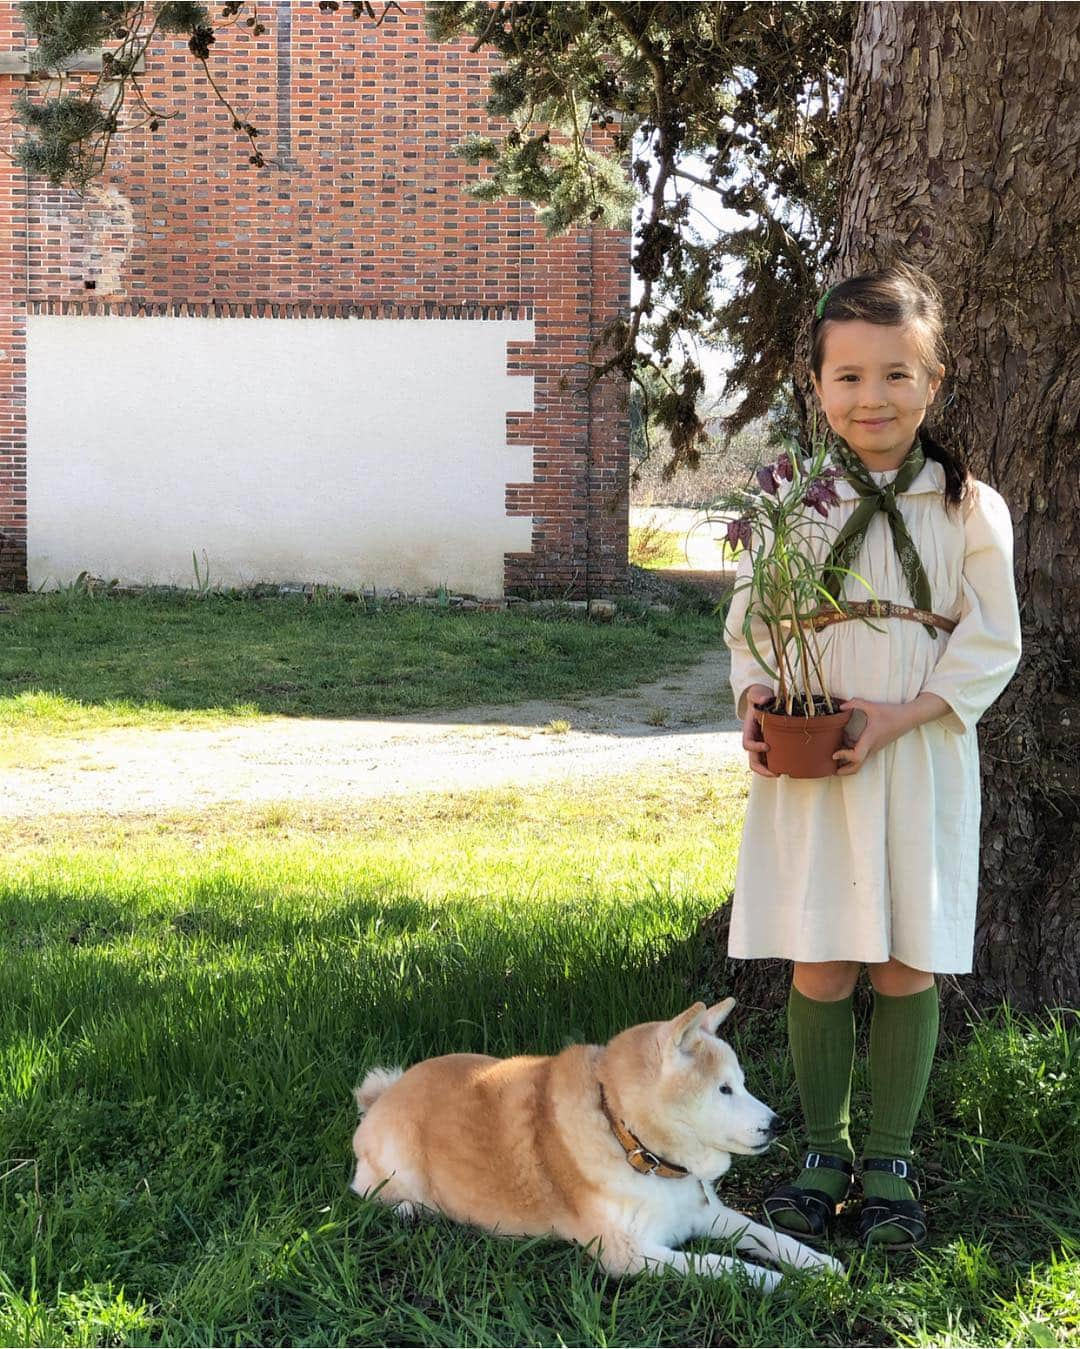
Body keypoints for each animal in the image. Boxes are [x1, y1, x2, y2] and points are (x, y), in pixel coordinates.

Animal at [350, 1003, 835, 1284]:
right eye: (724, 1090)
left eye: (742, 1083)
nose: (777, 1124)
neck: (635, 1146)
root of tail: (385, 1093)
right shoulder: (627, 1254)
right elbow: (726, 1266)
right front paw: (783, 1283)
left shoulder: (703, 1213)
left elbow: (771, 1237)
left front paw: (820, 1265)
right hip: (397, 1161)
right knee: (366, 1191)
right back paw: (407, 1208)